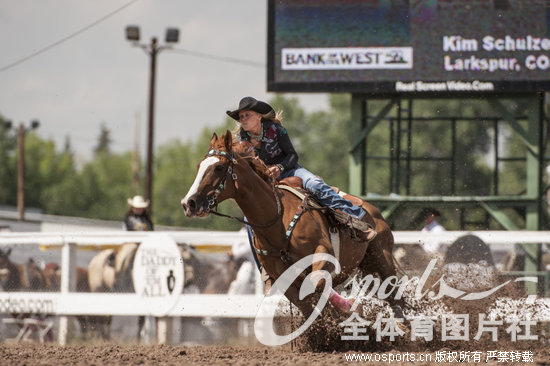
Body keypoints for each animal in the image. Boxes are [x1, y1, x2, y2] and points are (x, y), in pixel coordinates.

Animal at [183, 132, 404, 320]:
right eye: (199, 166)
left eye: (218, 167)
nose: (189, 203)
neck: (277, 221)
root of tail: (372, 210)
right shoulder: (283, 279)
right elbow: (310, 309)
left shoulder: (323, 253)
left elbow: (317, 283)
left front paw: (350, 308)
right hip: (367, 267)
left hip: (382, 259)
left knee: (396, 299)